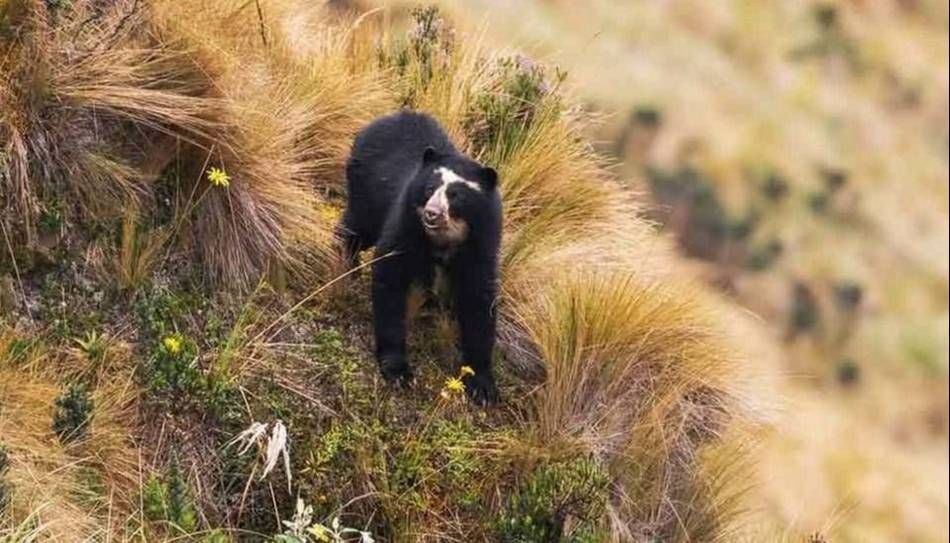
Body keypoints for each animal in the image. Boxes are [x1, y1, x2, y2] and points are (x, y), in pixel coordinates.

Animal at [338, 111, 503, 405]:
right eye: (429, 189)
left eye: (456, 196)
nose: (431, 214)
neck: (445, 239)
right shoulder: (406, 221)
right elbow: (390, 276)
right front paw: (398, 370)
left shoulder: (481, 242)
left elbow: (479, 301)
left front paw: (482, 386)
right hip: (365, 189)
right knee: (357, 227)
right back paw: (348, 262)